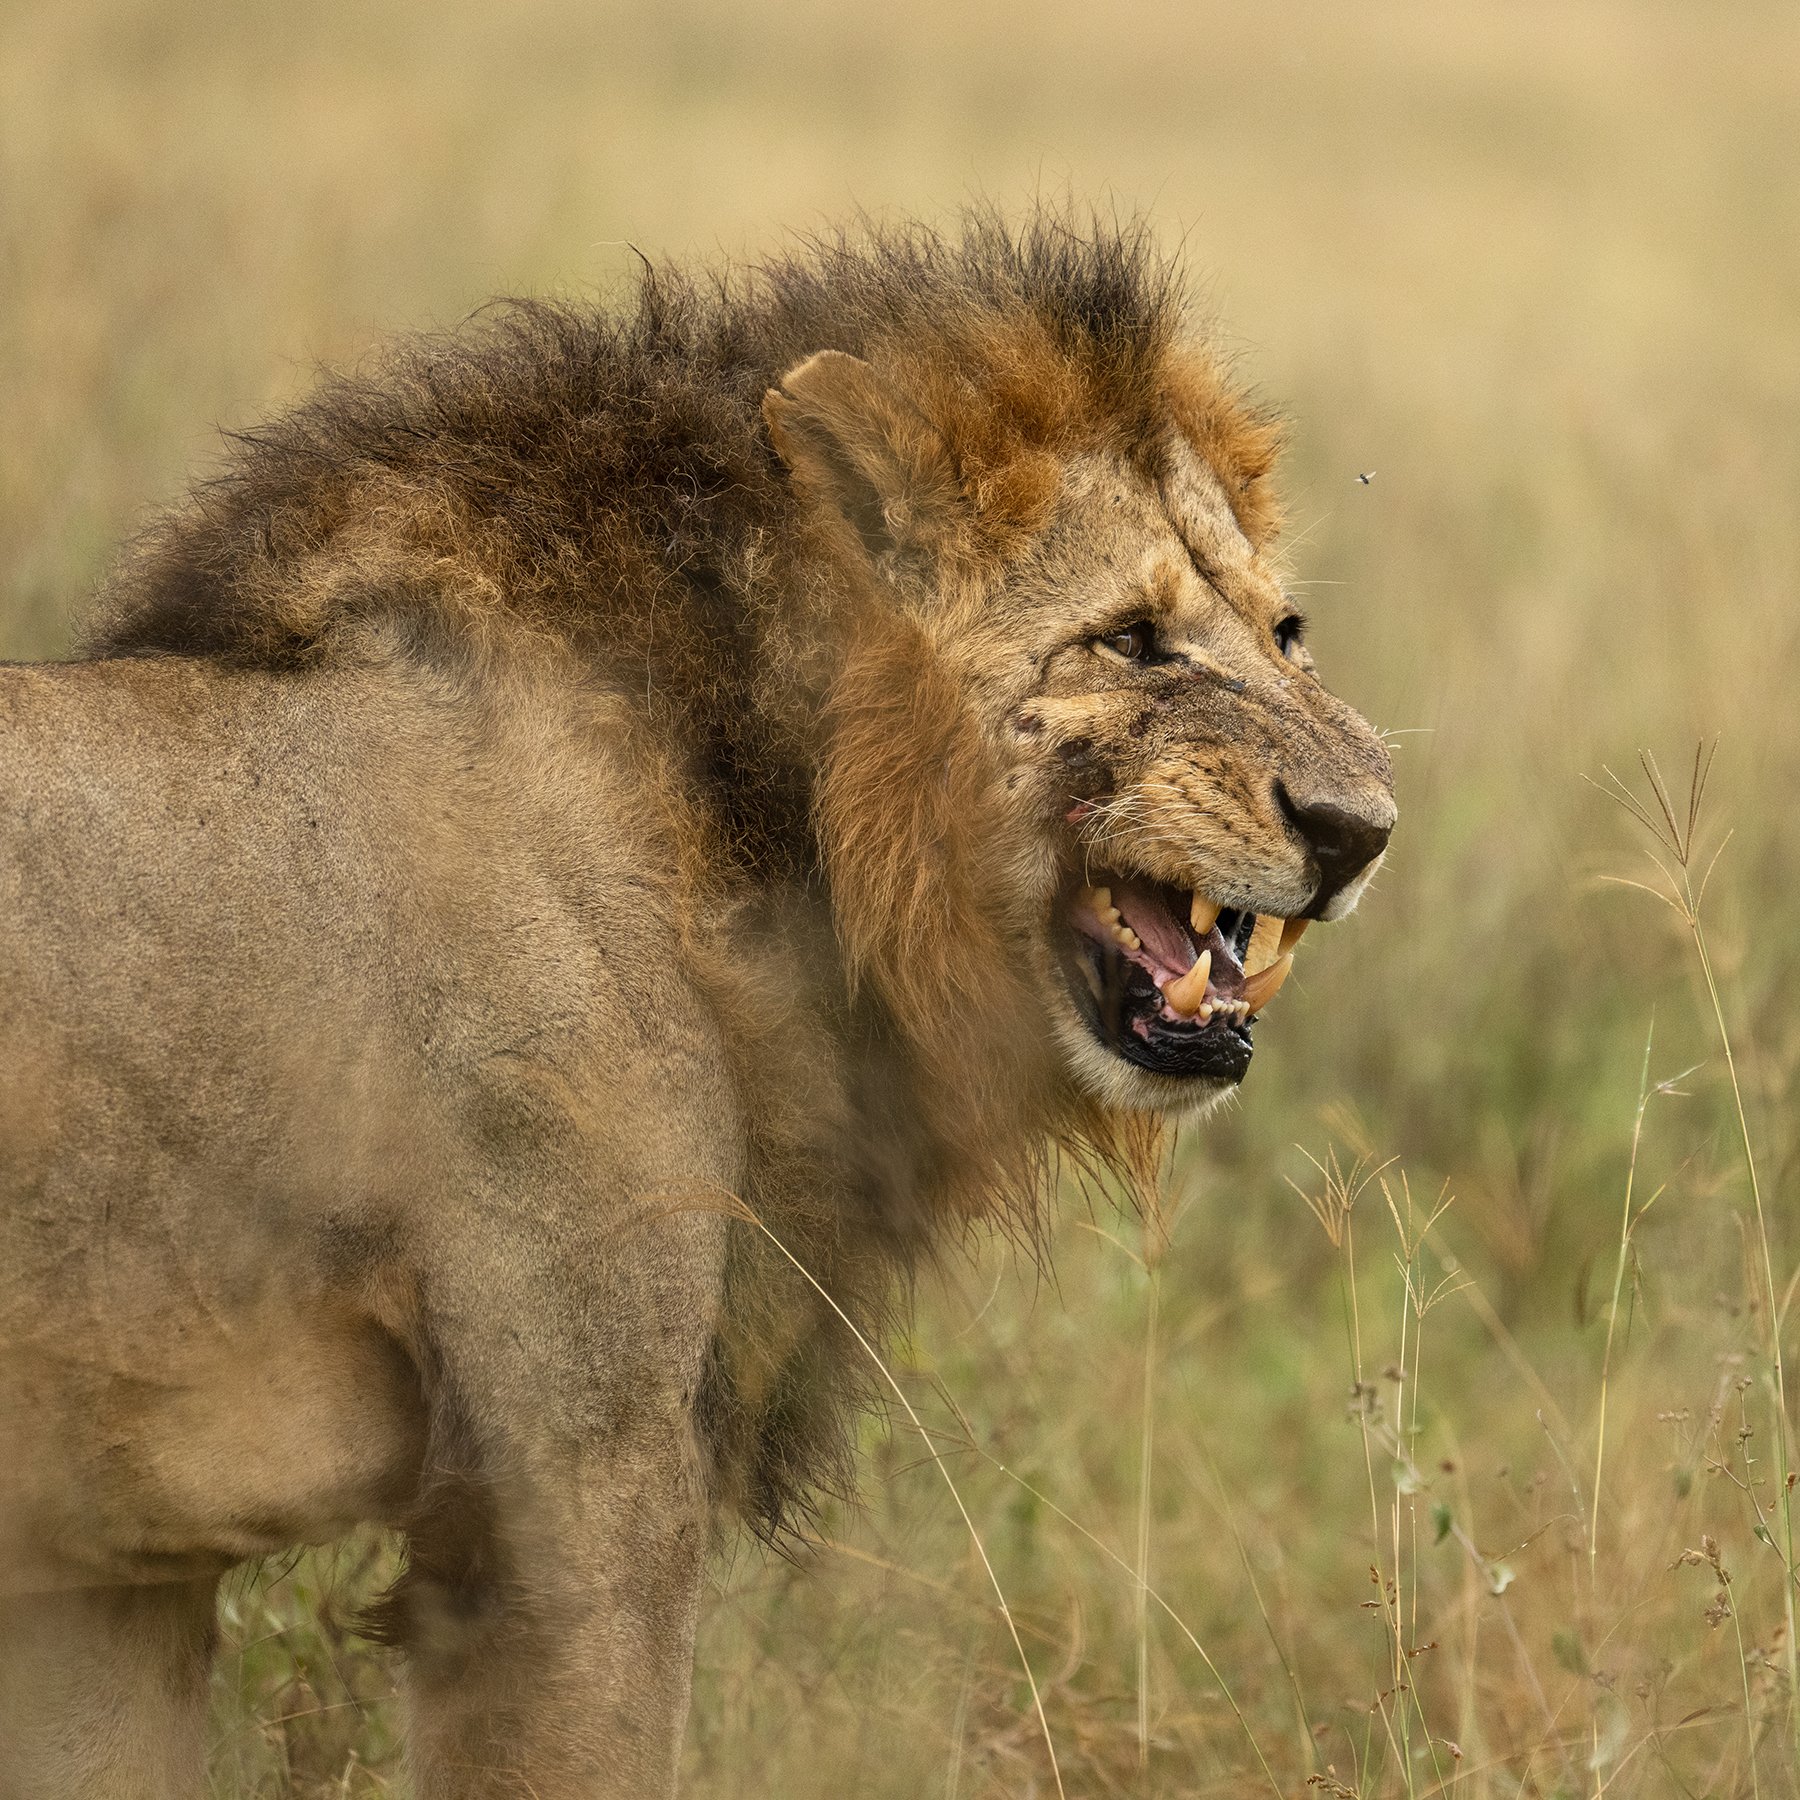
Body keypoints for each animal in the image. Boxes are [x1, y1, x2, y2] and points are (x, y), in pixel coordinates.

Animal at [0, 211, 1393, 1797]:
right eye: (1132, 639)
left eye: (1285, 633)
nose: (1362, 828)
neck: (770, 842)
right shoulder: (573, 1481)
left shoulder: (105, 1564)